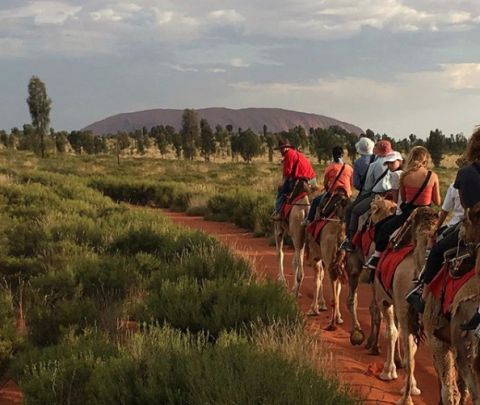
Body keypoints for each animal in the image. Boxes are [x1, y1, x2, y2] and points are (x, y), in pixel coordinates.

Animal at [306, 192, 350, 328]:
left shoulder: (315, 257)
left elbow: (317, 280)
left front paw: (313, 309)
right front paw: (339, 317)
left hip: (328, 259)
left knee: (333, 294)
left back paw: (331, 324)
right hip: (340, 262)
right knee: (337, 289)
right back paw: (336, 319)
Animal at [376, 207, 438, 402]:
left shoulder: (384, 300)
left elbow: (391, 333)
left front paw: (388, 372)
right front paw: (413, 386)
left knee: (405, 343)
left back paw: (405, 399)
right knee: (411, 346)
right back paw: (409, 391)